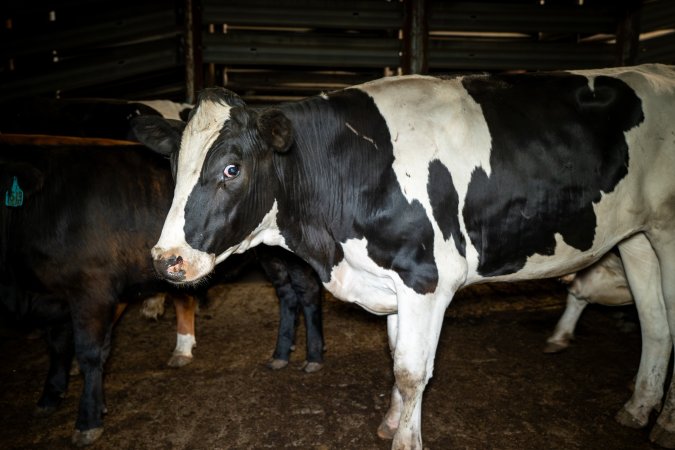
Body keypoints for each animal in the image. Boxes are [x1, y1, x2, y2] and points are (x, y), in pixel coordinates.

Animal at [135, 64, 675, 450]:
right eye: (173, 165)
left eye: (232, 168)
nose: (166, 260)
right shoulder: (392, 282)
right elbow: (396, 357)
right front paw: (391, 422)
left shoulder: (425, 278)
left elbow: (413, 371)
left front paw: (405, 440)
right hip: (637, 237)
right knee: (655, 323)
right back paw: (638, 408)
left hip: (667, 234)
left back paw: (663, 422)